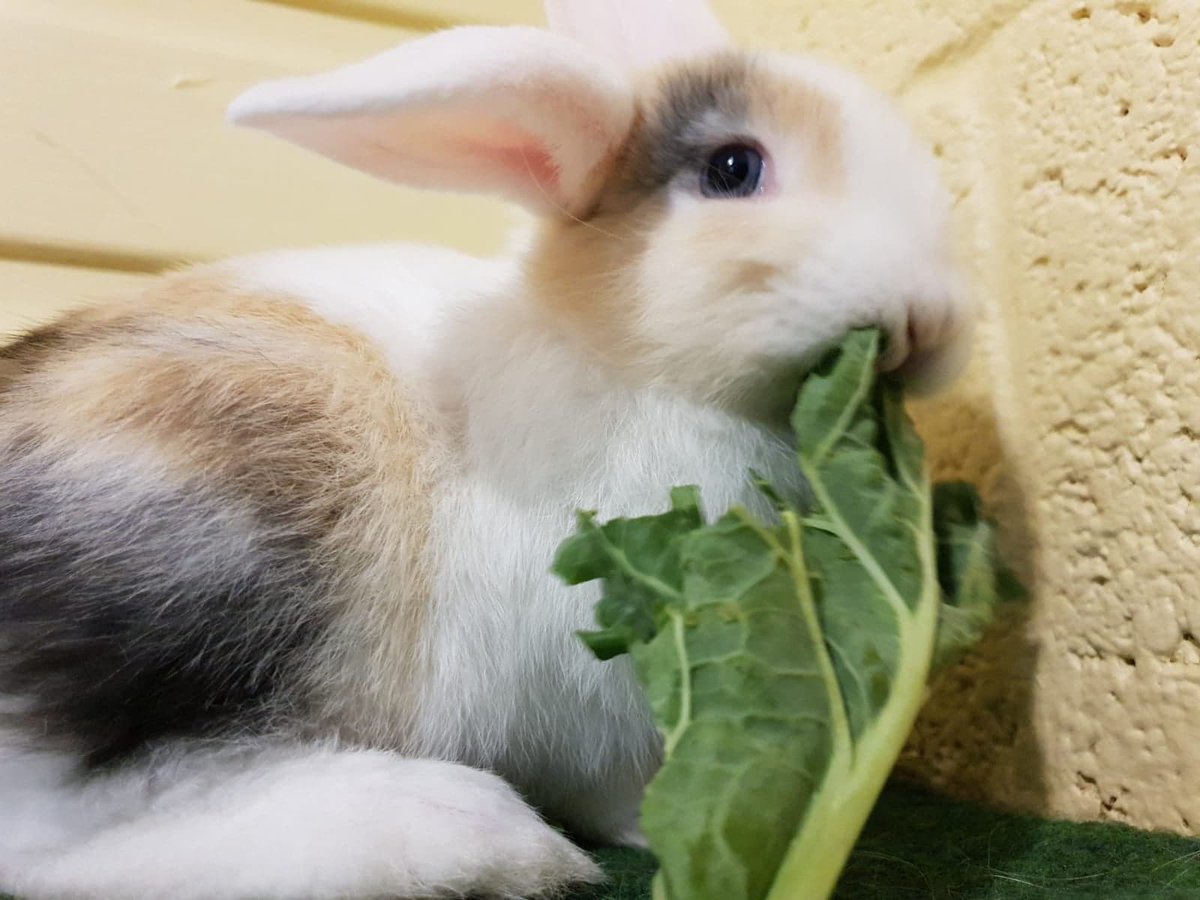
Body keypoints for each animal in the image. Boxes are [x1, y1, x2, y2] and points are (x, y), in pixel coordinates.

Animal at [0, 0, 971, 897]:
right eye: (732, 169)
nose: (934, 318)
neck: (626, 369)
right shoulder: (599, 709)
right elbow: (621, 791)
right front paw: (660, 830)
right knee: (65, 837)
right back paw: (473, 838)